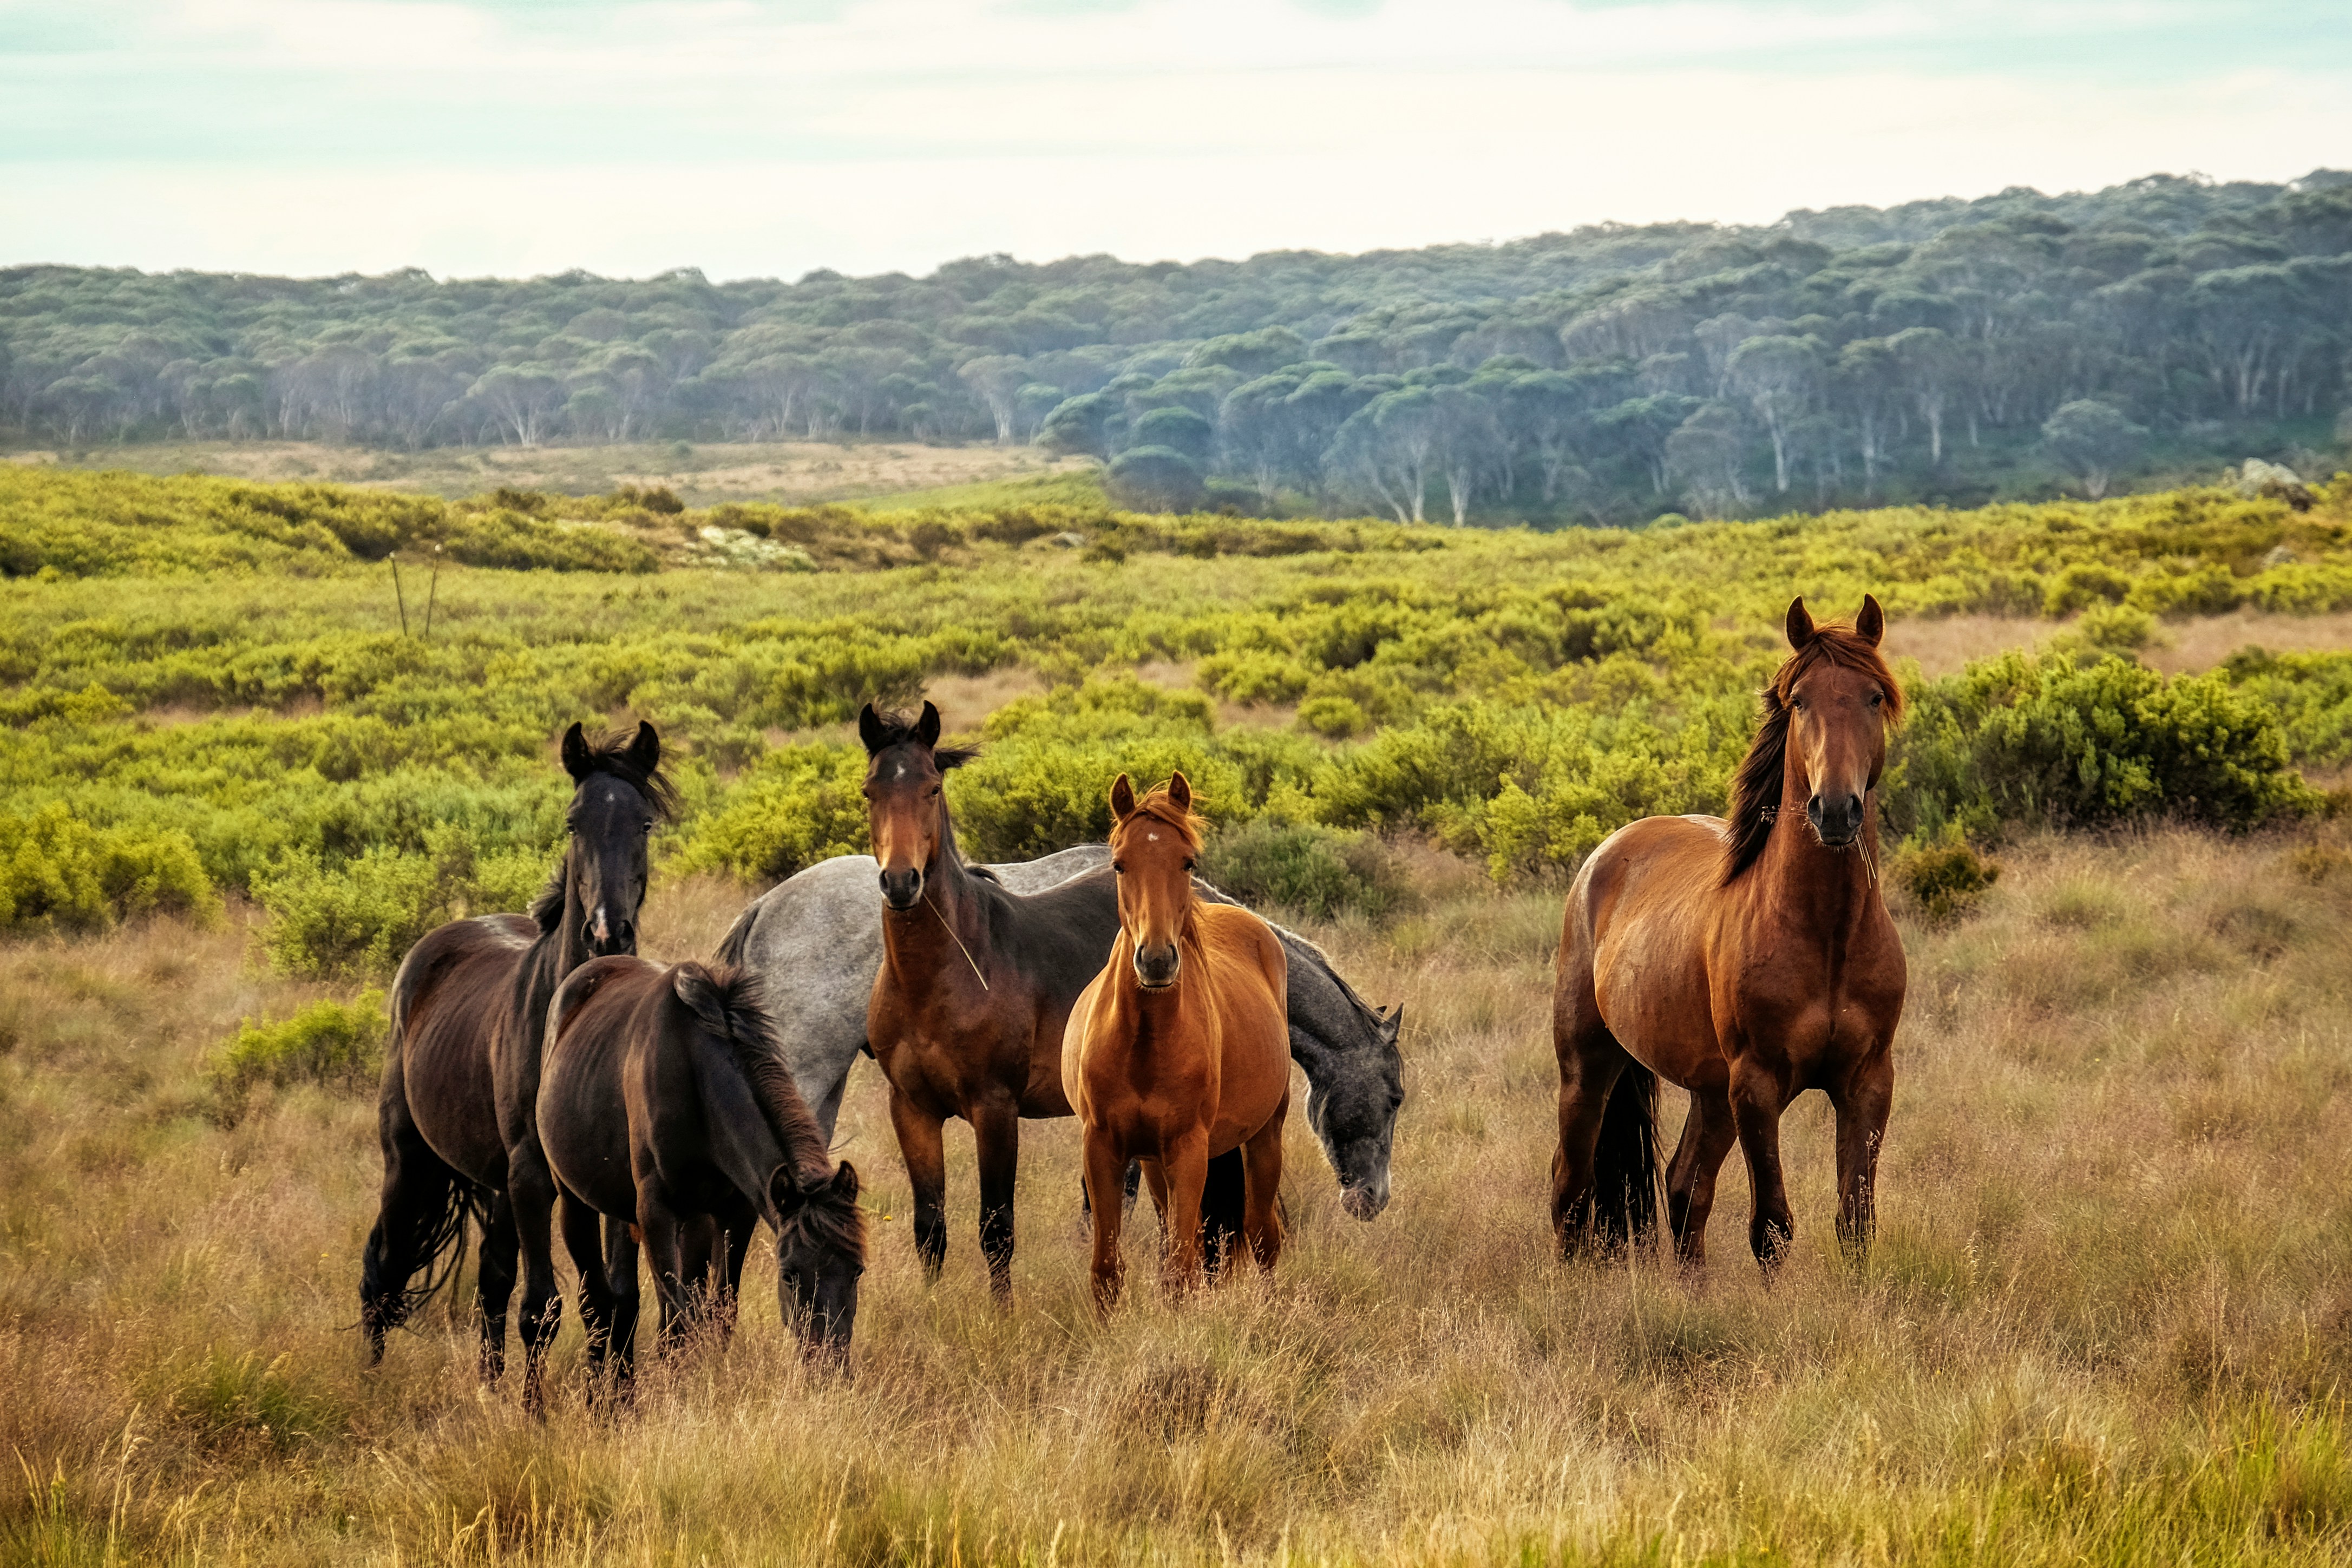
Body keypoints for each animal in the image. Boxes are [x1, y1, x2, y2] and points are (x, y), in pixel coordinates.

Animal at [360, 721, 672, 1412]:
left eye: (643, 821)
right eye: (573, 821)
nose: (608, 932)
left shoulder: (606, 1182)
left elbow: (615, 1299)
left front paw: (615, 1402)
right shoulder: (533, 1175)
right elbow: (546, 1306)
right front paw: (536, 1415)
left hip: (495, 1185)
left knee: (490, 1281)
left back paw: (488, 1384)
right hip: (410, 1163)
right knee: (383, 1269)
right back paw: (368, 1380)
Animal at [537, 957, 865, 1383]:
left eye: (857, 1271)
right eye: (789, 1274)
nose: (830, 1368)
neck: (695, 1077)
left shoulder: (735, 1214)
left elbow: (718, 1314)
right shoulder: (656, 1213)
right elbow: (675, 1326)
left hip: (661, 1216)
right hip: (575, 1203)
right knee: (596, 1305)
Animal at [1064, 773, 1289, 1309]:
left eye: (1187, 861)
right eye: (1119, 863)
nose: (1157, 960)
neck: (1144, 1042)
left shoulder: (1189, 1149)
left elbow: (1182, 1271)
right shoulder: (1103, 1147)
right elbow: (1108, 1270)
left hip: (1265, 1135)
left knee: (1262, 1235)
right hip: (1152, 1162)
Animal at [1550, 595, 1907, 1270]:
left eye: (1873, 696)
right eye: (1799, 701)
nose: (1835, 809)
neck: (1826, 933)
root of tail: (1606, 853)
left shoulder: (1867, 1082)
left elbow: (1856, 1222)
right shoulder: (1757, 1087)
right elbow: (1771, 1226)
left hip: (1709, 1091)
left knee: (1683, 1186)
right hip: (1588, 1066)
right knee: (1571, 1187)